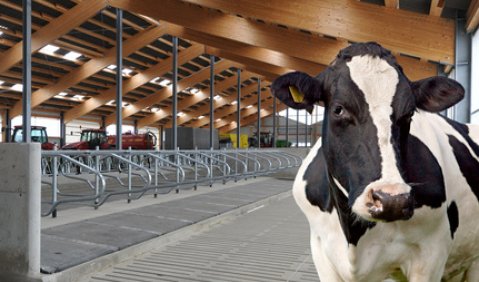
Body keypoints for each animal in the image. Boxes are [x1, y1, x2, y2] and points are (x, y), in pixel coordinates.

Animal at [272, 42, 479, 282]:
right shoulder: (321, 249)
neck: (354, 236)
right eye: (338, 109)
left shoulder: (430, 255)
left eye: (409, 114)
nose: (392, 200)